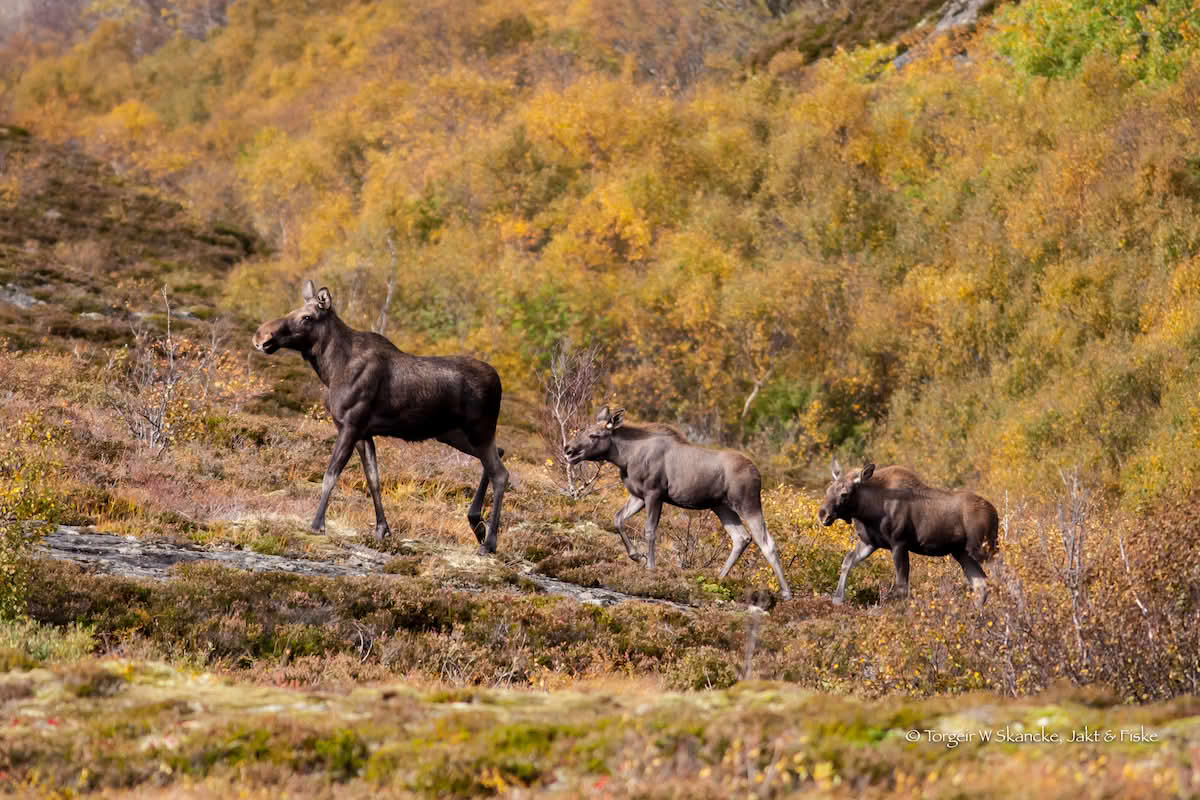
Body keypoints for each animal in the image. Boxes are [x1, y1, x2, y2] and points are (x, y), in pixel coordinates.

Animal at [253, 278, 506, 554]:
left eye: (307, 317)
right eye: (293, 310)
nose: (262, 335)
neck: (330, 370)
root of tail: (498, 382)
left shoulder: (351, 425)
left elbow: (331, 474)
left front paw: (317, 524)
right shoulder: (364, 433)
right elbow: (373, 479)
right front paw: (382, 528)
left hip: (479, 430)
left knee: (500, 473)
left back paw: (489, 541)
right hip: (455, 434)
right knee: (498, 455)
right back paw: (477, 525)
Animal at [564, 407, 792, 599]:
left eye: (595, 435)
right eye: (583, 430)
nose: (568, 450)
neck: (625, 458)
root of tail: (758, 473)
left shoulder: (654, 493)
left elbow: (650, 531)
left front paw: (650, 567)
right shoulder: (638, 496)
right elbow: (618, 518)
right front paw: (637, 556)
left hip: (747, 503)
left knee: (766, 542)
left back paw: (786, 592)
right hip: (721, 506)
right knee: (741, 537)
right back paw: (718, 578)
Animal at [820, 462, 998, 606]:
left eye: (844, 494)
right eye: (828, 490)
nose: (823, 514)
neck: (868, 511)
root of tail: (995, 512)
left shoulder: (899, 543)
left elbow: (901, 586)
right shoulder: (870, 543)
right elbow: (847, 561)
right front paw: (837, 599)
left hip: (983, 547)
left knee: (999, 573)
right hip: (962, 552)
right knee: (981, 584)